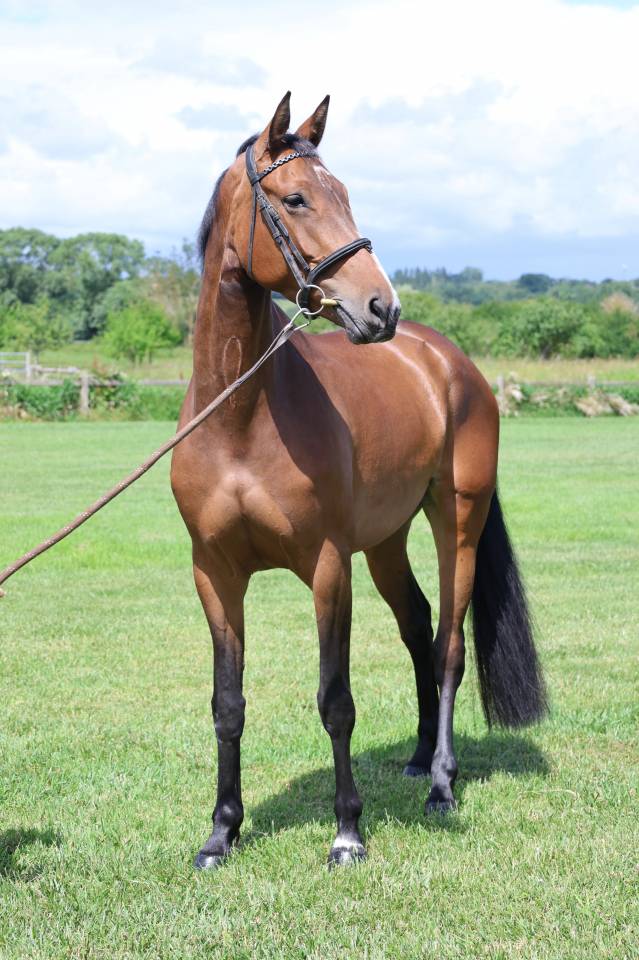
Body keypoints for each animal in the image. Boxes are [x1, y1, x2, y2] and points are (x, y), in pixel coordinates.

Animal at [171, 92, 547, 870]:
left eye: (345, 194)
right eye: (295, 198)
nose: (381, 308)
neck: (242, 420)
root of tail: (446, 361)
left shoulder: (326, 568)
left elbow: (334, 700)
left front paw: (346, 832)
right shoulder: (214, 573)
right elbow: (228, 704)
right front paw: (221, 832)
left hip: (454, 524)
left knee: (448, 647)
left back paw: (441, 783)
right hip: (385, 543)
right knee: (418, 626)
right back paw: (417, 759)